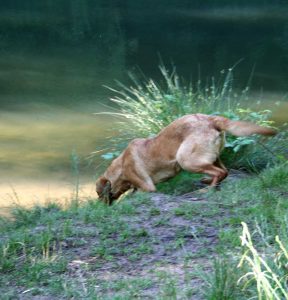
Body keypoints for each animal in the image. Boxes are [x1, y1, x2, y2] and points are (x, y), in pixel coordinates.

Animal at [95, 113, 276, 204]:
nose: (100, 206)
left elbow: (136, 192)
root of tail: (212, 119)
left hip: (186, 160)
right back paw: (207, 182)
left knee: (219, 173)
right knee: (224, 171)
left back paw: (206, 189)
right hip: (213, 157)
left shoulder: (147, 186)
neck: (120, 167)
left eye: (98, 193)